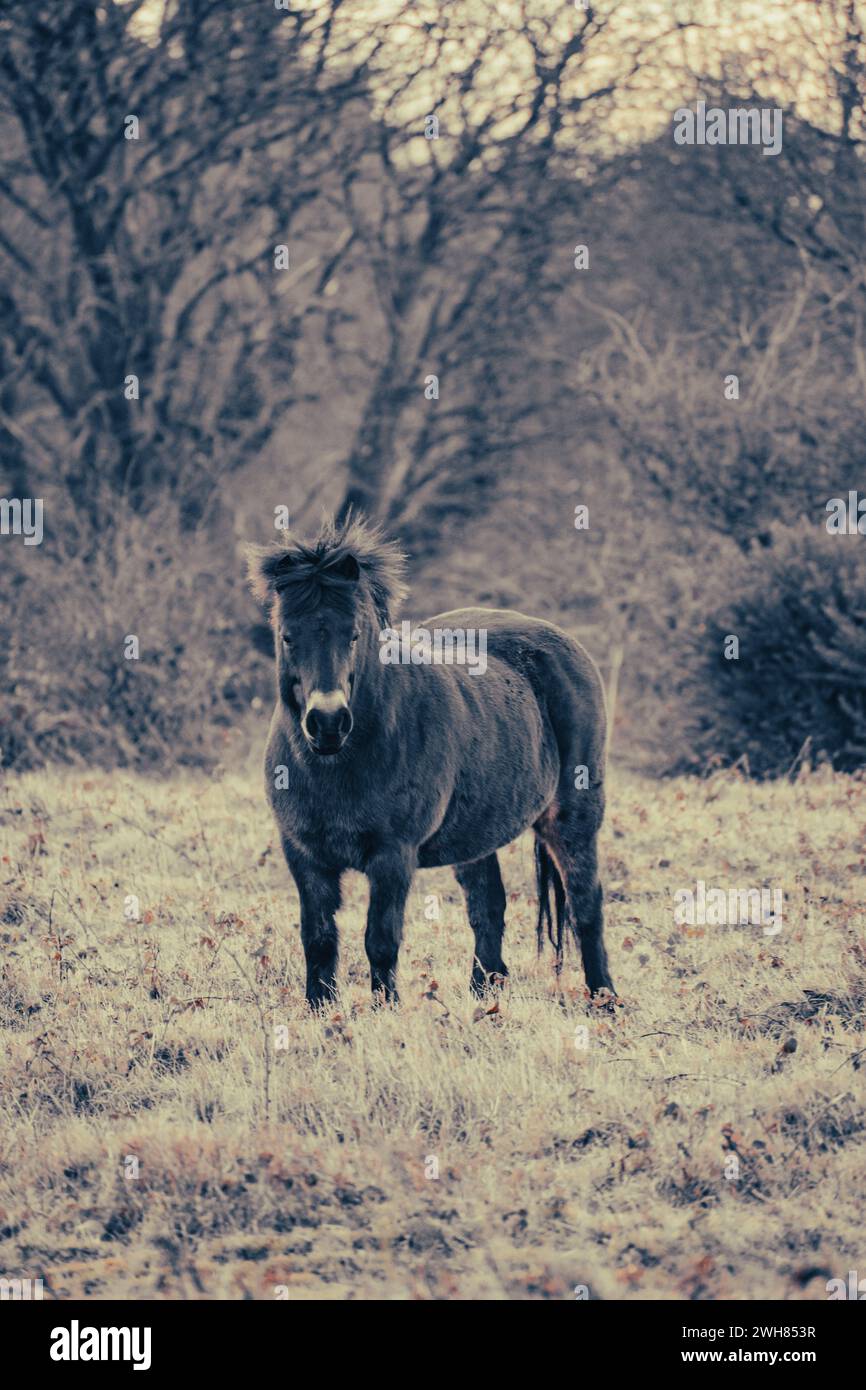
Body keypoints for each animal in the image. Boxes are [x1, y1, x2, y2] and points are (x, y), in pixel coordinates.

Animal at [247, 517, 614, 1006]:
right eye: (288, 635)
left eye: (354, 634)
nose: (327, 722)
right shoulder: (304, 855)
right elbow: (319, 939)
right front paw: (320, 1010)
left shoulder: (392, 856)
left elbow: (380, 940)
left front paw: (385, 1010)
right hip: (477, 835)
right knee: (488, 908)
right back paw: (484, 998)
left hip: (573, 817)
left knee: (585, 903)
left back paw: (604, 999)